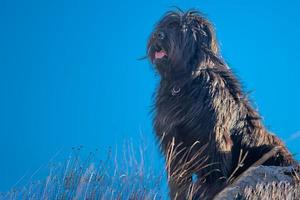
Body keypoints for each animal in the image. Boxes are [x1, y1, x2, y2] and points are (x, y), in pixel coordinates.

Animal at [147, 9, 296, 198]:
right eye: (166, 25)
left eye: (181, 28)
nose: (158, 35)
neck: (184, 81)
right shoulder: (173, 142)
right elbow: (179, 176)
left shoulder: (213, 137)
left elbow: (213, 167)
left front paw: (208, 189)